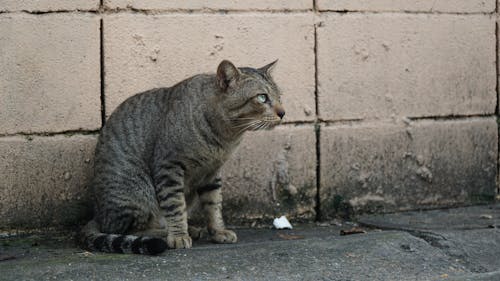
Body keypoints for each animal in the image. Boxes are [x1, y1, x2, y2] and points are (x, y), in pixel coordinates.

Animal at [81, 59, 286, 254]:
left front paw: (218, 231)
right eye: (262, 97)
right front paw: (179, 235)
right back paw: (168, 232)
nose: (283, 113)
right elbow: (174, 205)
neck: (226, 137)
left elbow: (214, 205)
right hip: (136, 193)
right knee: (126, 230)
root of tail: (97, 215)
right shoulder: (169, 166)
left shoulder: (212, 172)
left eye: (279, 96)